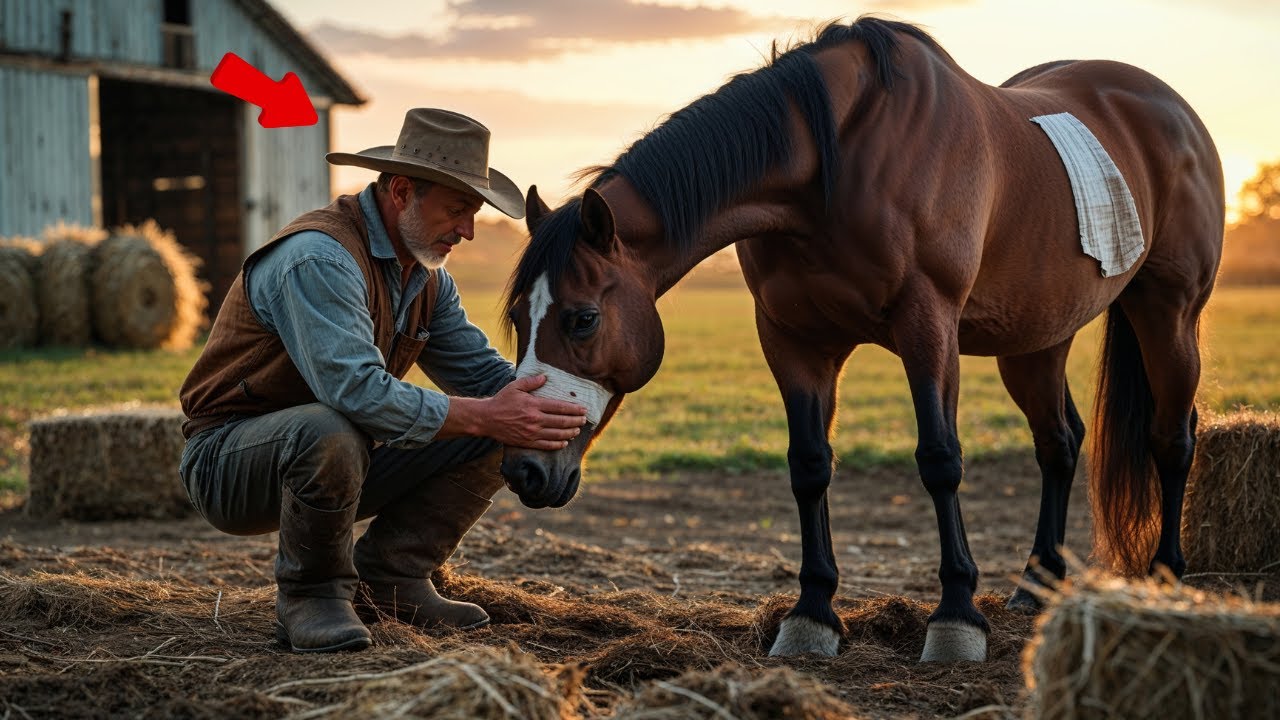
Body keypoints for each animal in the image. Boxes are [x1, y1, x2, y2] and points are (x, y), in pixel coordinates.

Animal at [498, 16, 1224, 663]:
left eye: (582, 319)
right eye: (518, 320)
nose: (524, 469)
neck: (835, 164)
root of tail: (1173, 111)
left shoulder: (927, 325)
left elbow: (940, 459)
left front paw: (956, 618)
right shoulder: (792, 339)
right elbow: (809, 464)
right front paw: (812, 614)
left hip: (1168, 313)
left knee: (1171, 437)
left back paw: (1165, 579)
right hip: (1035, 339)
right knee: (1060, 442)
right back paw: (1037, 581)